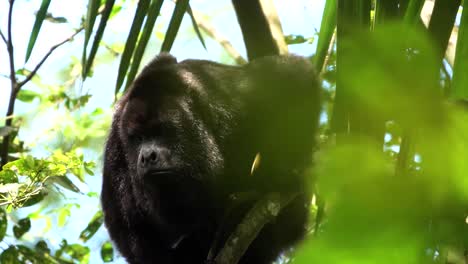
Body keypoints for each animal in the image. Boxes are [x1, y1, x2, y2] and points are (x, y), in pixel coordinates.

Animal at [101, 53, 322, 264]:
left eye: (163, 131)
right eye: (138, 138)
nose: (147, 156)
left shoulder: (226, 98)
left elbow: (292, 75)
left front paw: (283, 168)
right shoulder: (116, 151)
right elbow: (124, 222)